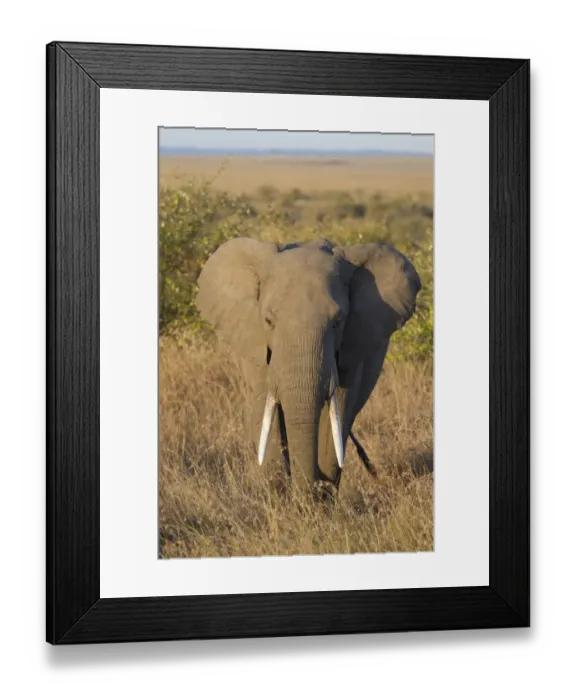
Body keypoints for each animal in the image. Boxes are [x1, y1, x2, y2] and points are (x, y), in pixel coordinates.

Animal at [196, 236, 421, 496]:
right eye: (268, 321)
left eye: (338, 322)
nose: (309, 491)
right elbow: (267, 406)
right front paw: (278, 495)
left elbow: (339, 407)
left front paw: (322, 495)